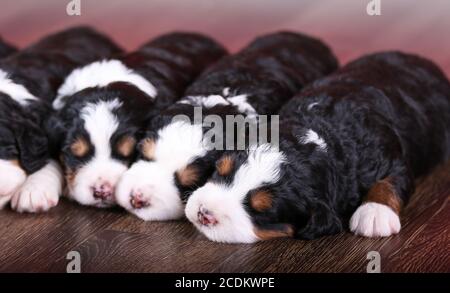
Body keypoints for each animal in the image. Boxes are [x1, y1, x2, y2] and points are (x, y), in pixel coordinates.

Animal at [185, 52, 450, 242]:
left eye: (262, 211)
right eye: (219, 171)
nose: (204, 213)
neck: (321, 132)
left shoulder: (392, 158)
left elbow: (393, 181)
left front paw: (374, 213)